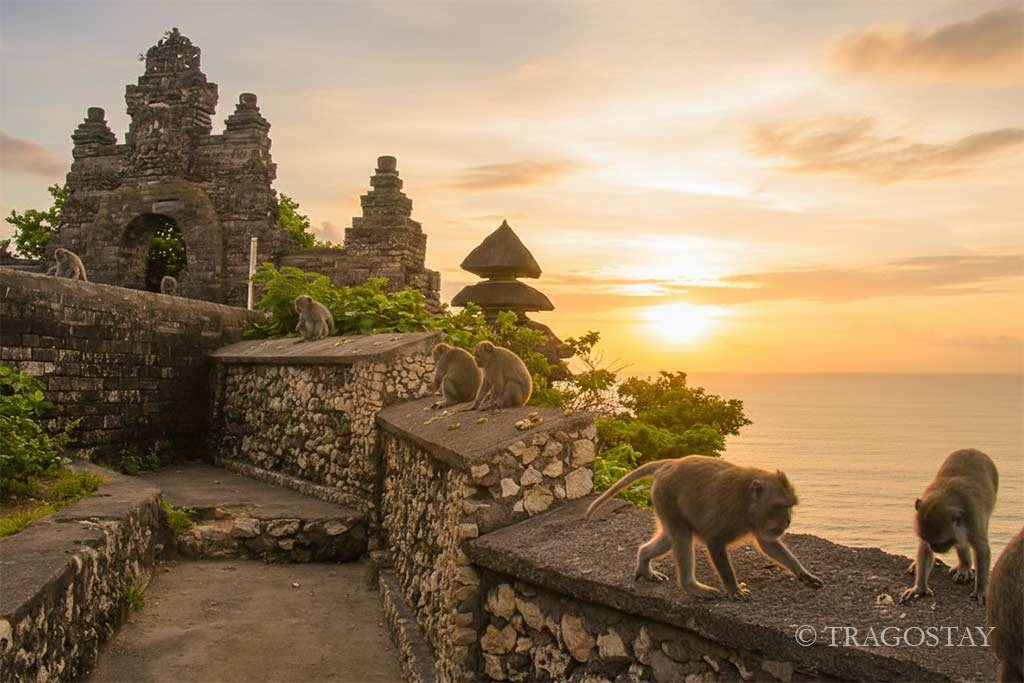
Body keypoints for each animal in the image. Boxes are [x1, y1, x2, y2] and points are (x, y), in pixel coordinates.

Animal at [587, 455, 822, 600]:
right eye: (781, 507)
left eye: (790, 506)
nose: (788, 521)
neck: (747, 501)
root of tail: (669, 463)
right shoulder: (729, 514)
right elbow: (715, 542)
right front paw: (734, 589)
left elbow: (768, 544)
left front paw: (803, 573)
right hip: (666, 497)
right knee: (682, 537)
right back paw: (691, 586)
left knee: (670, 538)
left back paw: (645, 561)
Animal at [900, 448, 998, 605]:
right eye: (929, 541)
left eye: (939, 542)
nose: (934, 548)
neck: (946, 497)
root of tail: (972, 449)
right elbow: (924, 550)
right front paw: (920, 588)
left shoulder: (973, 517)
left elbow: (981, 549)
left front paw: (981, 589)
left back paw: (964, 567)